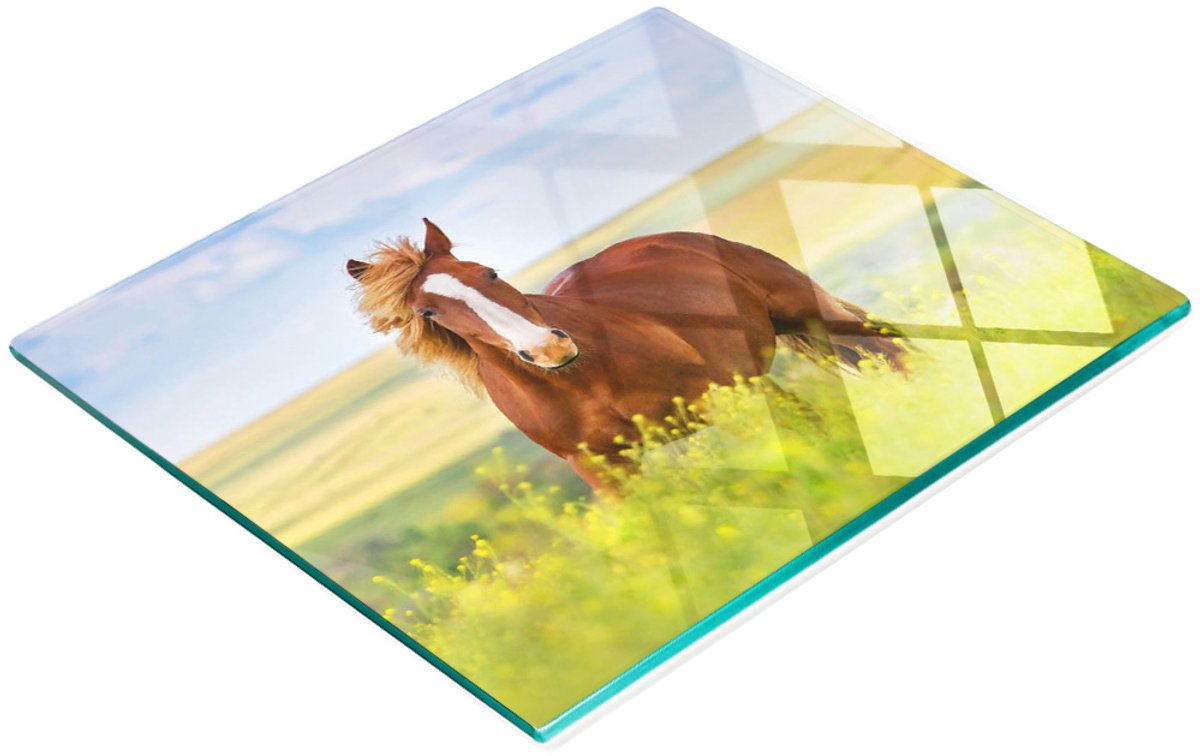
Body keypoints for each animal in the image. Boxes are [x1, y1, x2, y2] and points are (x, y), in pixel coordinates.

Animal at [347, 219, 905, 489]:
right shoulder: (605, 473)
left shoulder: (738, 396)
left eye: (490, 273)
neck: (581, 380)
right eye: (430, 312)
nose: (548, 348)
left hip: (812, 318)